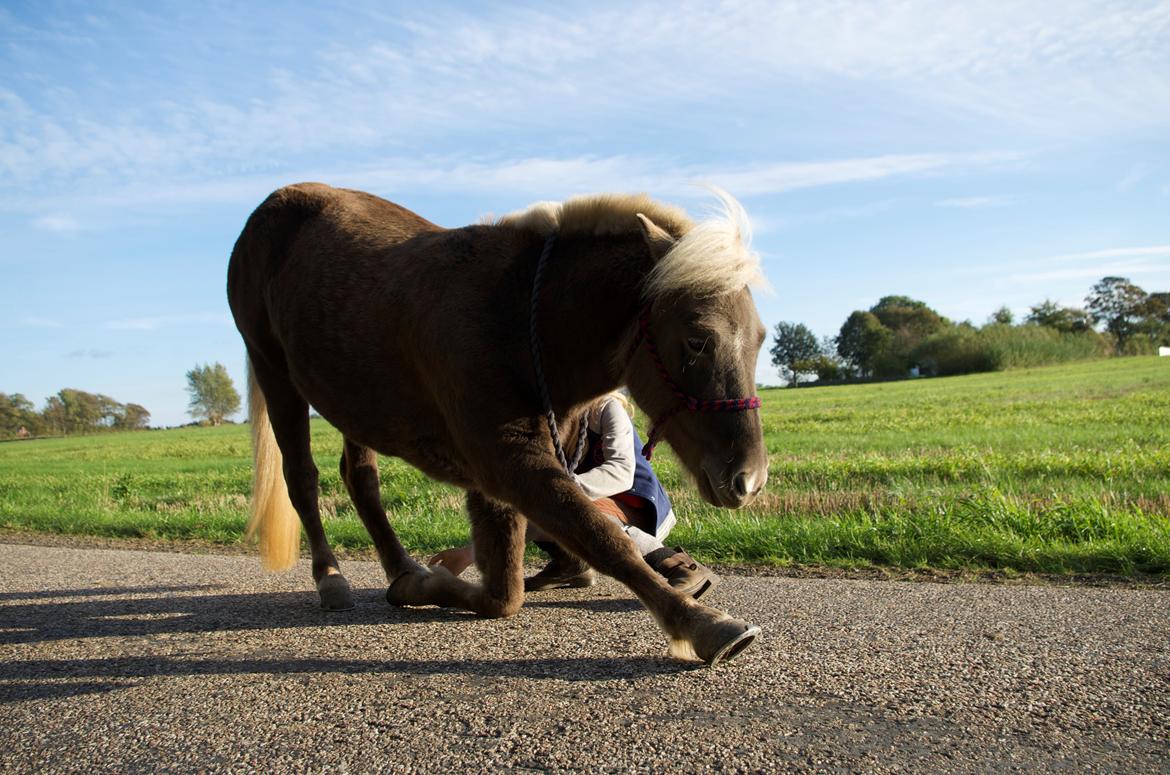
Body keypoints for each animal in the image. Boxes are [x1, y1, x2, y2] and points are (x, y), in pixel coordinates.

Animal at [228, 183, 776, 669]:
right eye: (698, 340)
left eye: (760, 339)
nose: (748, 481)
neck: (518, 318)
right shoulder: (507, 460)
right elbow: (600, 537)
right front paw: (700, 623)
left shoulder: (504, 473)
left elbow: (504, 591)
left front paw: (423, 583)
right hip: (275, 371)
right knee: (302, 479)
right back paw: (331, 577)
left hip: (352, 399)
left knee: (361, 480)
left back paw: (401, 568)